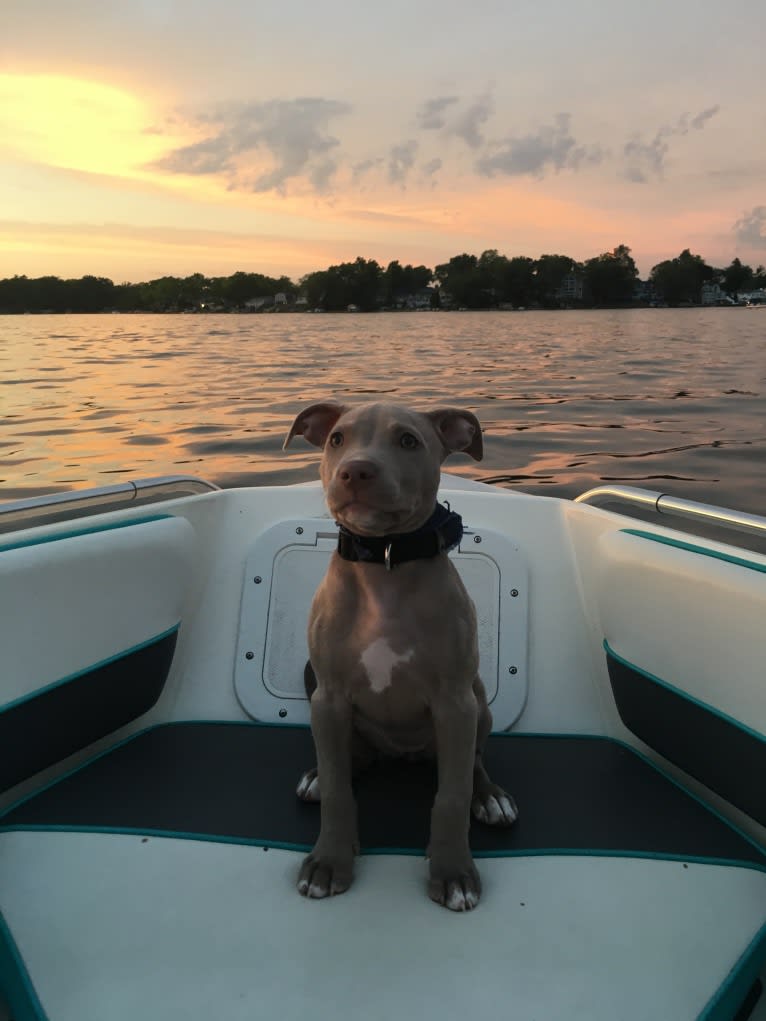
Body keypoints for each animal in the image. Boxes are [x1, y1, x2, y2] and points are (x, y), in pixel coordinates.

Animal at [281, 398, 516, 910]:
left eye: (408, 440)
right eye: (337, 439)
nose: (355, 471)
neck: (385, 561)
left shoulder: (454, 703)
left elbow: (451, 795)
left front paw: (453, 873)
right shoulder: (329, 697)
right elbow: (338, 791)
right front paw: (328, 862)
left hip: (478, 704)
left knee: (473, 763)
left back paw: (489, 796)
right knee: (346, 760)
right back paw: (319, 773)